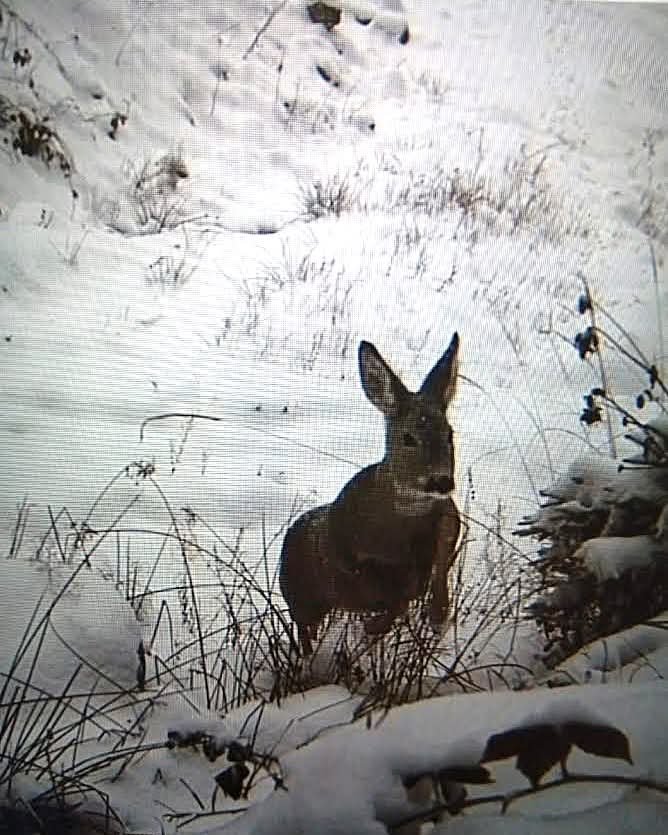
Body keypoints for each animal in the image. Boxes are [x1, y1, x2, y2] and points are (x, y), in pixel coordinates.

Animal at [279, 334, 461, 654]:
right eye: (408, 438)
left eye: (449, 434)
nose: (441, 481)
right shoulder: (345, 557)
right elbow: (394, 594)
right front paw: (374, 626)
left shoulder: (446, 525)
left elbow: (428, 576)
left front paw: (438, 615)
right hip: (299, 597)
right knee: (303, 630)